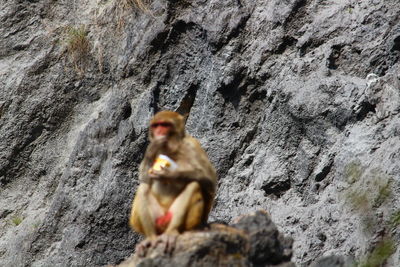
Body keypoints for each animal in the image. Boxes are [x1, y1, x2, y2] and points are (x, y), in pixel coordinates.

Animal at [130, 110, 217, 255]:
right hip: (157, 218)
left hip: (182, 221)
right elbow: (145, 179)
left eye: (165, 125)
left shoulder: (192, 146)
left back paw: (172, 232)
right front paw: (152, 149)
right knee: (143, 188)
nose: (159, 132)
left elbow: (209, 181)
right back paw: (151, 238)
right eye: (156, 125)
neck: (171, 148)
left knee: (193, 185)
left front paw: (170, 174)